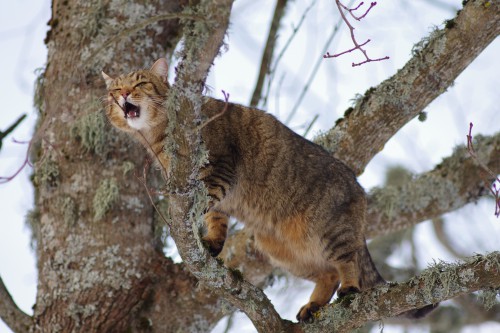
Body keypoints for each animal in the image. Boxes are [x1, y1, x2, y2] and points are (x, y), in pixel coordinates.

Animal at [102, 58, 438, 320]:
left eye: (140, 82)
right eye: (114, 90)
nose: (124, 94)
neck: (156, 139)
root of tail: (358, 188)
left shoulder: (220, 168)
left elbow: (203, 201)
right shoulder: (221, 196)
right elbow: (216, 218)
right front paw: (212, 242)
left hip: (332, 231)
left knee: (347, 261)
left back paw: (351, 289)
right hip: (281, 250)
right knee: (327, 273)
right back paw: (312, 307)